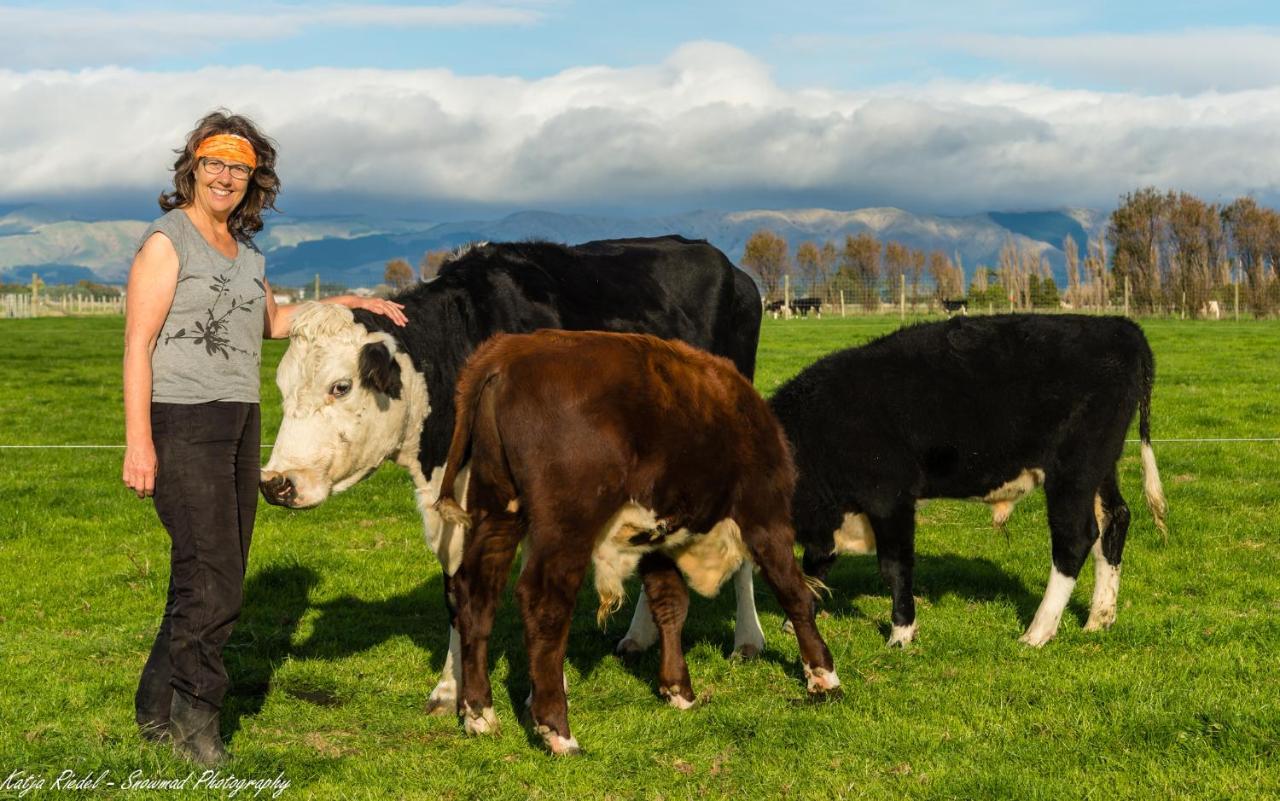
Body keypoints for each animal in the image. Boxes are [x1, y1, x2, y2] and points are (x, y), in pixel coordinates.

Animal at [254, 232, 762, 711]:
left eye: (340, 387)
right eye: (281, 388)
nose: (276, 482)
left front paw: (544, 693)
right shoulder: (450, 502)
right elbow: (457, 592)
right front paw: (450, 690)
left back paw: (748, 639)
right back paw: (640, 636)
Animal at [435, 327, 844, 752]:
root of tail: (507, 353)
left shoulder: (654, 539)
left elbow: (670, 605)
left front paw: (677, 688)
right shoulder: (765, 518)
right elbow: (794, 592)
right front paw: (823, 675)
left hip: (497, 510)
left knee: (477, 596)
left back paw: (479, 713)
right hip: (567, 524)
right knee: (544, 603)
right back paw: (557, 729)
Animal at [622, 312, 1172, 655]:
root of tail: (1119, 328)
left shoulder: (890, 495)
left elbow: (894, 565)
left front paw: (901, 632)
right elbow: (816, 559)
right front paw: (799, 612)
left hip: (1073, 470)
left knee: (1075, 538)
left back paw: (1038, 631)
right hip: (1101, 466)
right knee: (1115, 521)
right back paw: (1099, 616)